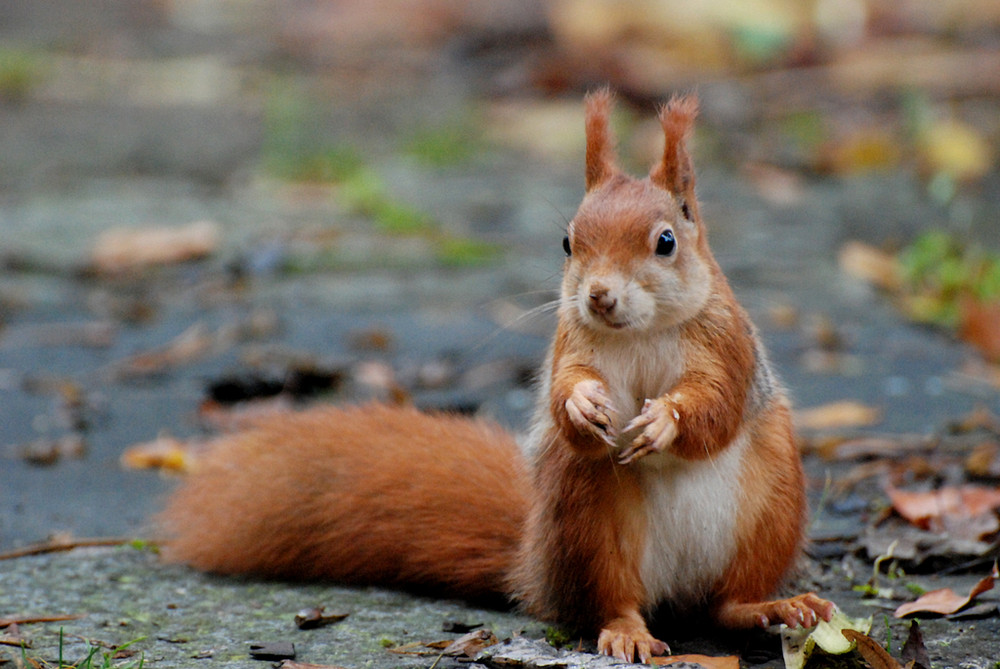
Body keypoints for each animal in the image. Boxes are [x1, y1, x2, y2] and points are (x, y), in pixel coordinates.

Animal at [160, 88, 832, 664]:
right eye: (567, 242)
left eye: (666, 241)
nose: (599, 297)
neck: (640, 333)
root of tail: (532, 567)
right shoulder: (570, 345)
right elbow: (565, 389)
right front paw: (582, 406)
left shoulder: (727, 344)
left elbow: (715, 405)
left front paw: (664, 419)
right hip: (584, 514)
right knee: (611, 600)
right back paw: (627, 632)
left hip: (772, 503)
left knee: (727, 603)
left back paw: (773, 607)